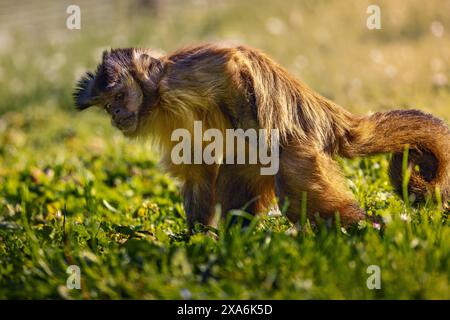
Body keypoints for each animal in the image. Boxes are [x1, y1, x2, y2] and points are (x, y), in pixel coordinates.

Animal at [74, 43, 450, 230]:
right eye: (107, 105)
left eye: (119, 97)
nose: (116, 113)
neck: (158, 97)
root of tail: (324, 115)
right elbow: (196, 172)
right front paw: (196, 241)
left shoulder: (179, 78)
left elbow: (232, 63)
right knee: (238, 174)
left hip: (299, 148)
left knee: (295, 194)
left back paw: (372, 231)